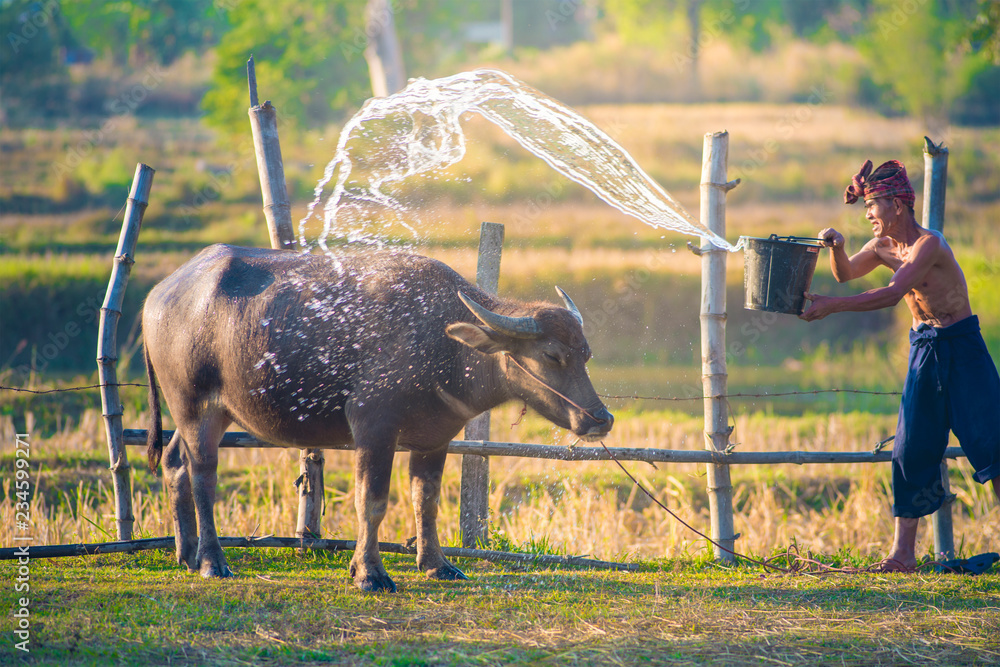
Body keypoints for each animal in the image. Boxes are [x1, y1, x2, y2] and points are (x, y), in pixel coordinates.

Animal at [145, 244, 612, 588]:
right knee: (203, 474)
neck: (443, 345)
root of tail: (159, 294)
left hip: (212, 412)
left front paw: (437, 563)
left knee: (175, 462)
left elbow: (427, 500)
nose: (601, 418)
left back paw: (186, 553)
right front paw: (369, 573)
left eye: (587, 353)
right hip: (193, 405)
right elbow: (371, 501)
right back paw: (212, 561)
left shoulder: (436, 438)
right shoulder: (374, 428)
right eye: (552, 355)